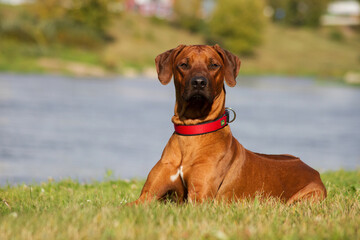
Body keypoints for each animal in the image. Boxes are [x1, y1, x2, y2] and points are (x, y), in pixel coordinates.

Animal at [131, 44, 326, 204]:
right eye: (184, 65)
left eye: (214, 65)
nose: (199, 82)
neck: (193, 131)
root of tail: (312, 170)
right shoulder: (147, 196)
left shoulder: (199, 198)